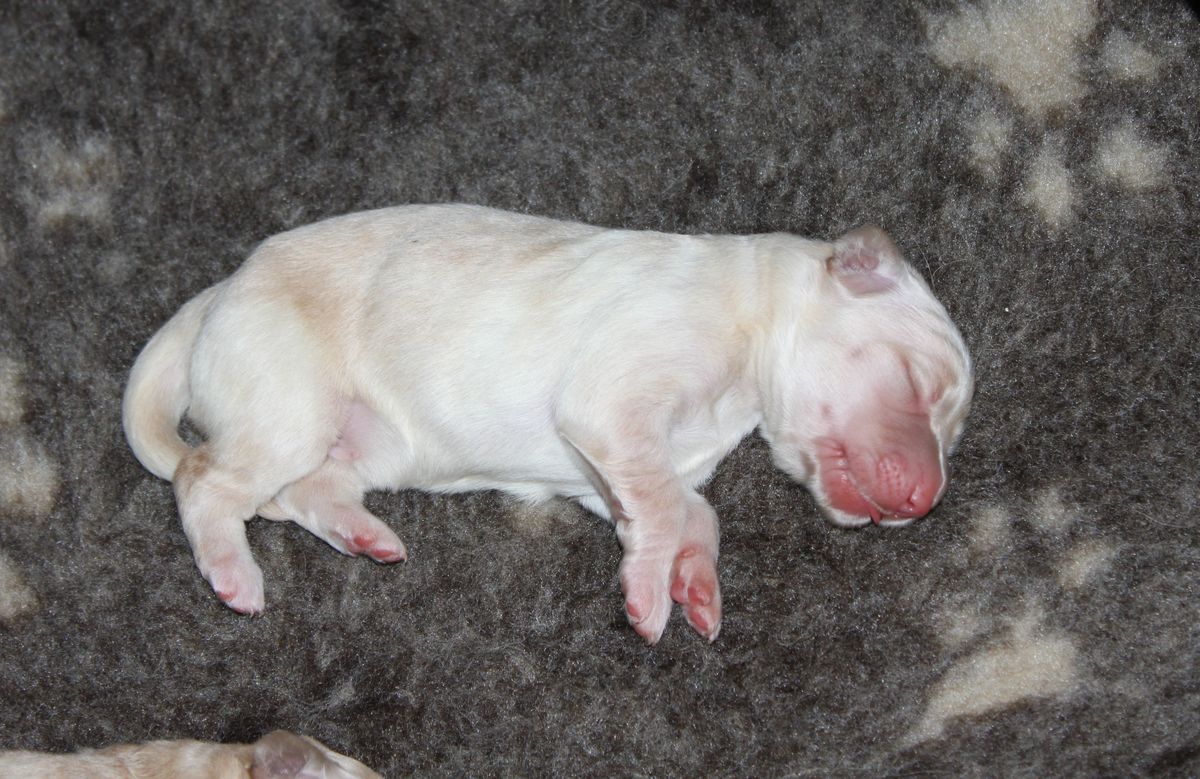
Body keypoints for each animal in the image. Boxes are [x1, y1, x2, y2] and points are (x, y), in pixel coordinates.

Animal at [123, 204, 973, 644]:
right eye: (916, 382)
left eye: (953, 431)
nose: (925, 499)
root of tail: (223, 289)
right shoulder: (614, 407)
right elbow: (663, 506)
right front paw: (650, 597)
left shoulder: (613, 469)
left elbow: (688, 510)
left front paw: (695, 581)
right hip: (291, 406)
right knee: (205, 480)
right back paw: (234, 575)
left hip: (365, 439)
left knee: (302, 490)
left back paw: (366, 536)